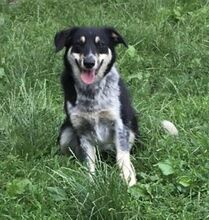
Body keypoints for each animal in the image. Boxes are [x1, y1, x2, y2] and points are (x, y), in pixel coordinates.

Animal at [54, 26, 138, 186]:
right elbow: (89, 162)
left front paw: (128, 179)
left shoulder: (119, 125)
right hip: (65, 133)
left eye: (101, 44)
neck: (91, 92)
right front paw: (91, 182)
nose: (89, 62)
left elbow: (122, 157)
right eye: (78, 44)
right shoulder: (82, 129)